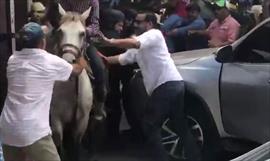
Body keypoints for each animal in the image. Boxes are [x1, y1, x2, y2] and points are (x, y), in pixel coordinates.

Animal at [48, 4, 94, 160]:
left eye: (82, 33)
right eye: (60, 31)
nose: (68, 61)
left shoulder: (82, 122)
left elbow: (76, 147)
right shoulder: (56, 120)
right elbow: (58, 146)